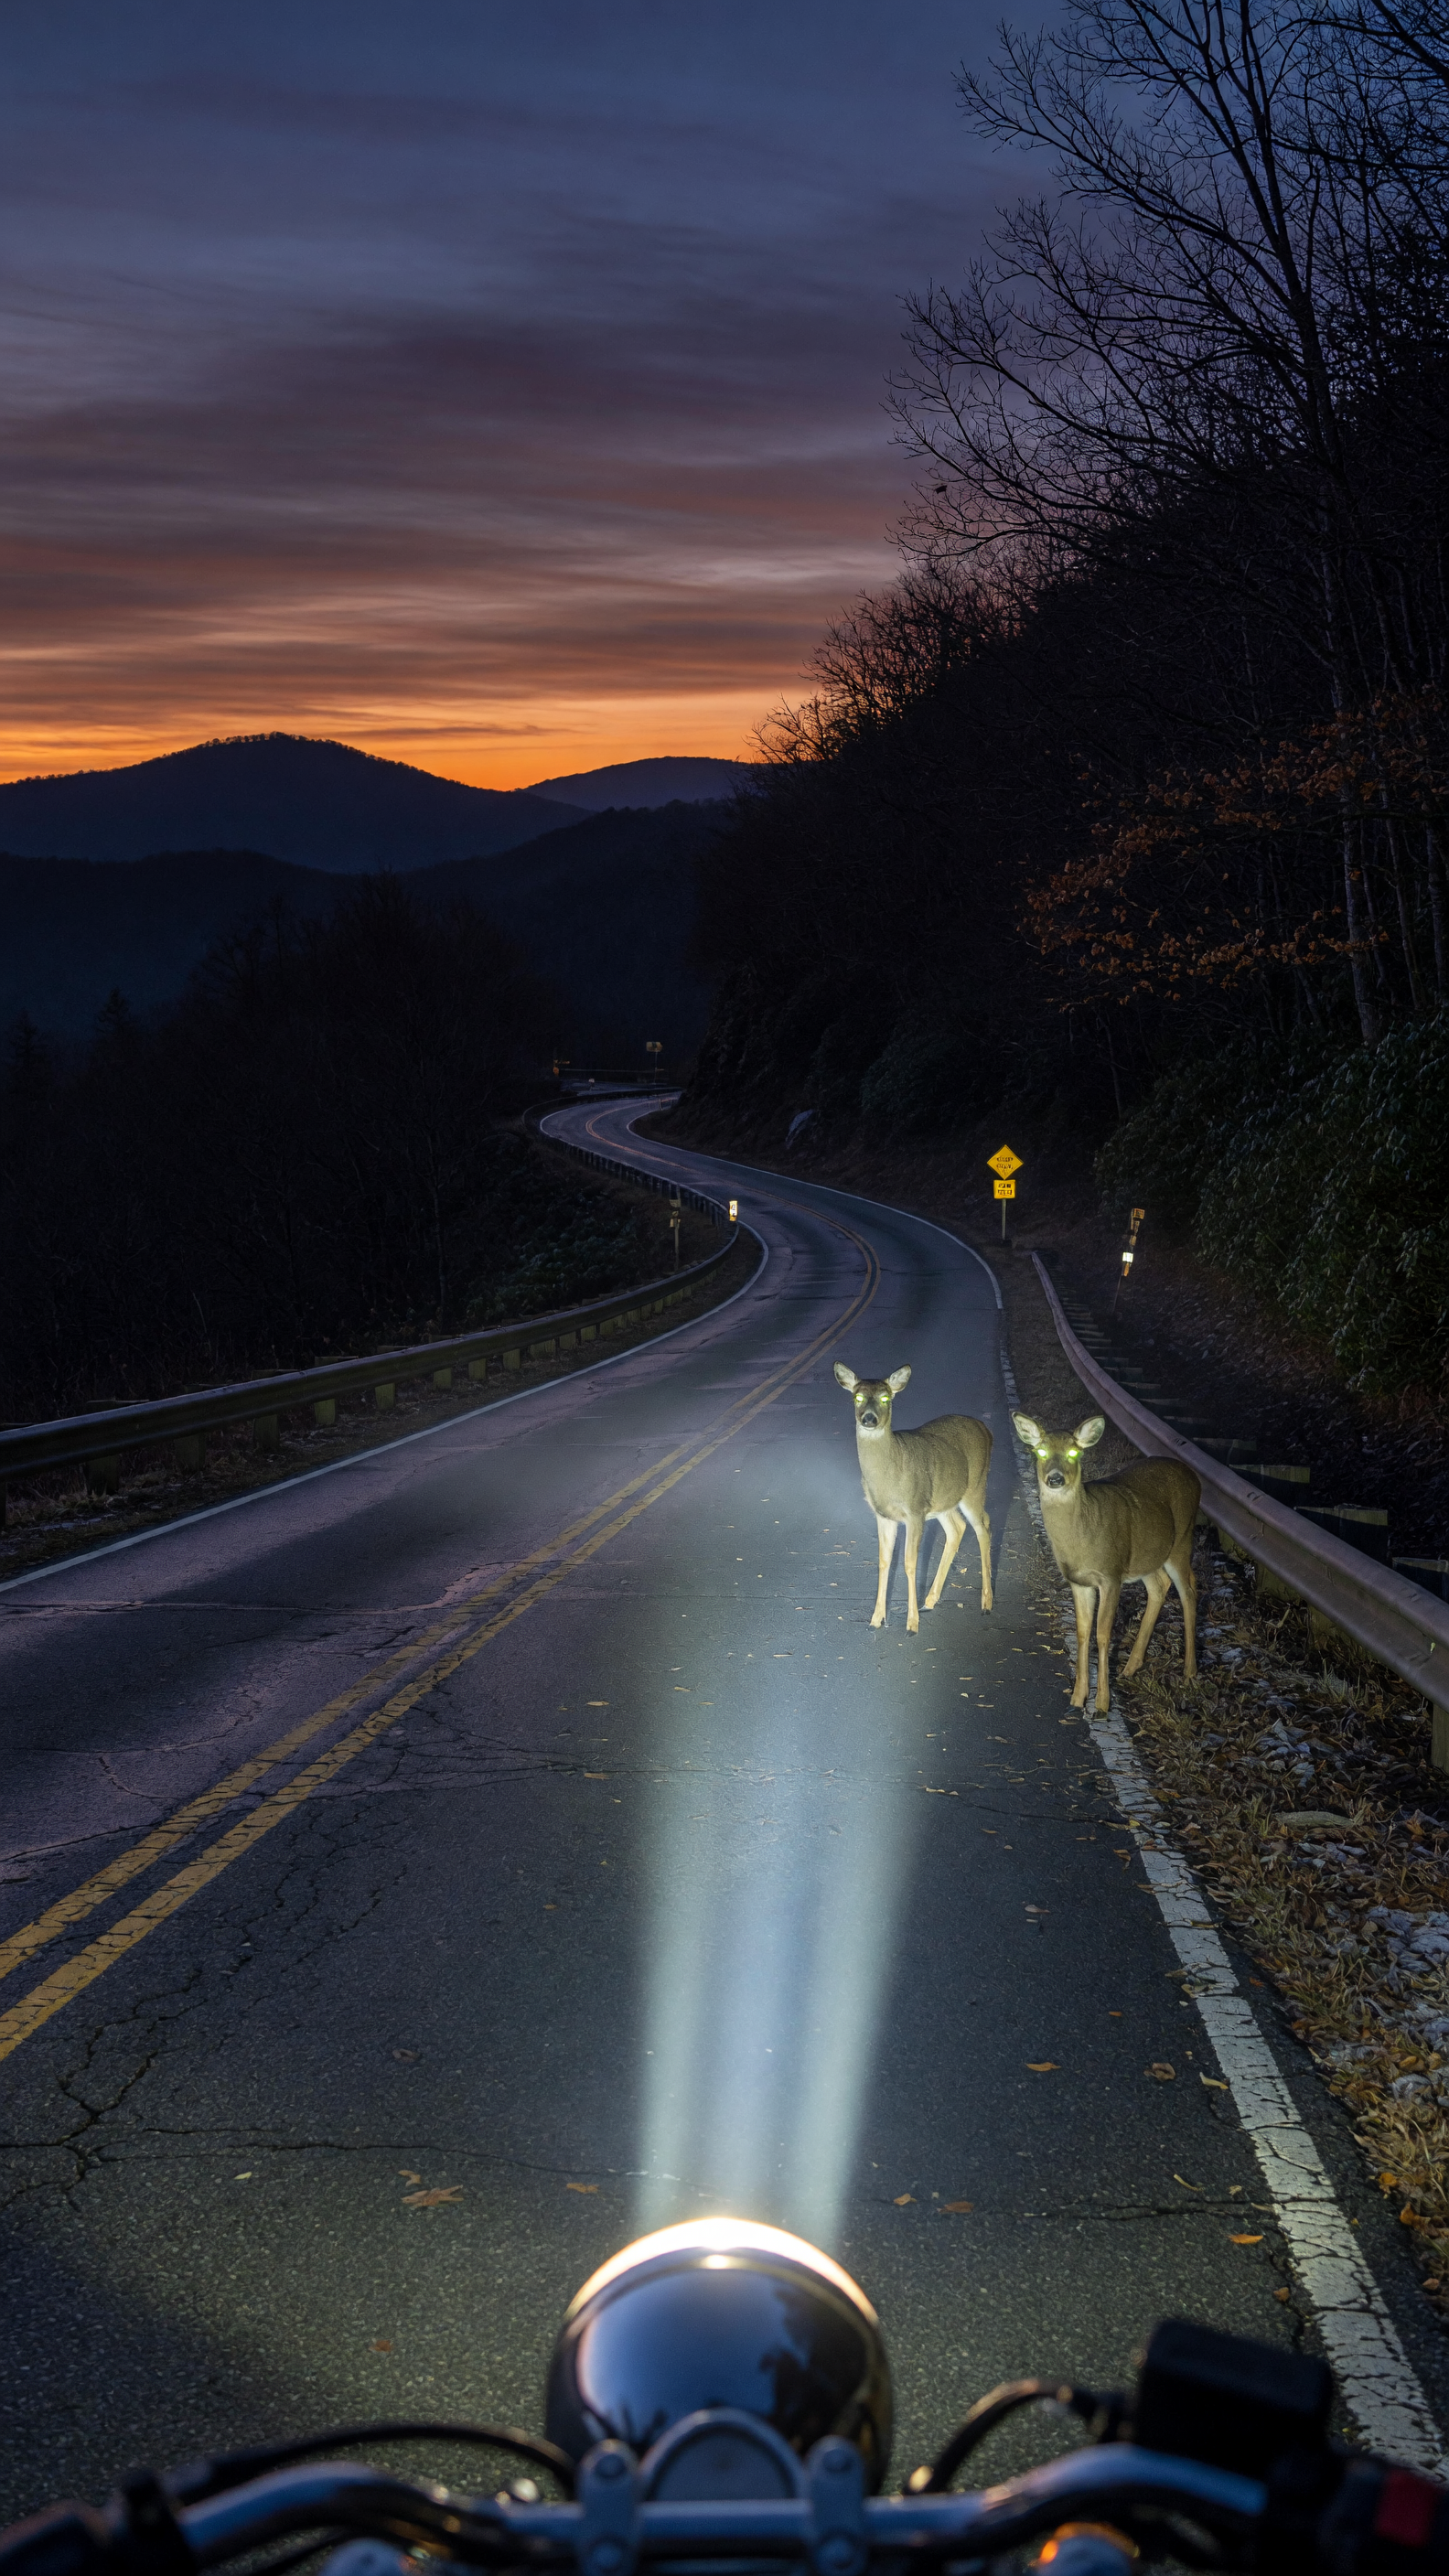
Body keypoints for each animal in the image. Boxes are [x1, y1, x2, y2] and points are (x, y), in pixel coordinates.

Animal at [834, 1363, 993, 1631]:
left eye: (885, 1398)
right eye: (857, 1397)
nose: (869, 1418)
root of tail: (986, 1429)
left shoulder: (915, 1511)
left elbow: (909, 1564)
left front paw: (912, 1624)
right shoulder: (884, 1515)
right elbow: (884, 1561)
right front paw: (876, 1620)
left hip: (975, 1486)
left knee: (984, 1527)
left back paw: (987, 1603)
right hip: (944, 1499)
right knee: (957, 1528)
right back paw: (930, 1599)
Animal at [1011, 1411, 1199, 1712]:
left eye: (1074, 1452)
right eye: (1040, 1451)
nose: (1055, 1479)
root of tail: (1195, 1476)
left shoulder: (1111, 1575)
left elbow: (1102, 1633)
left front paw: (1102, 1703)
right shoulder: (1078, 1581)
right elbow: (1082, 1632)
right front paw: (1078, 1697)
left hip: (1182, 1538)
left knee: (1190, 1591)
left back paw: (1189, 1672)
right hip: (1147, 1554)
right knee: (1160, 1585)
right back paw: (1131, 1667)